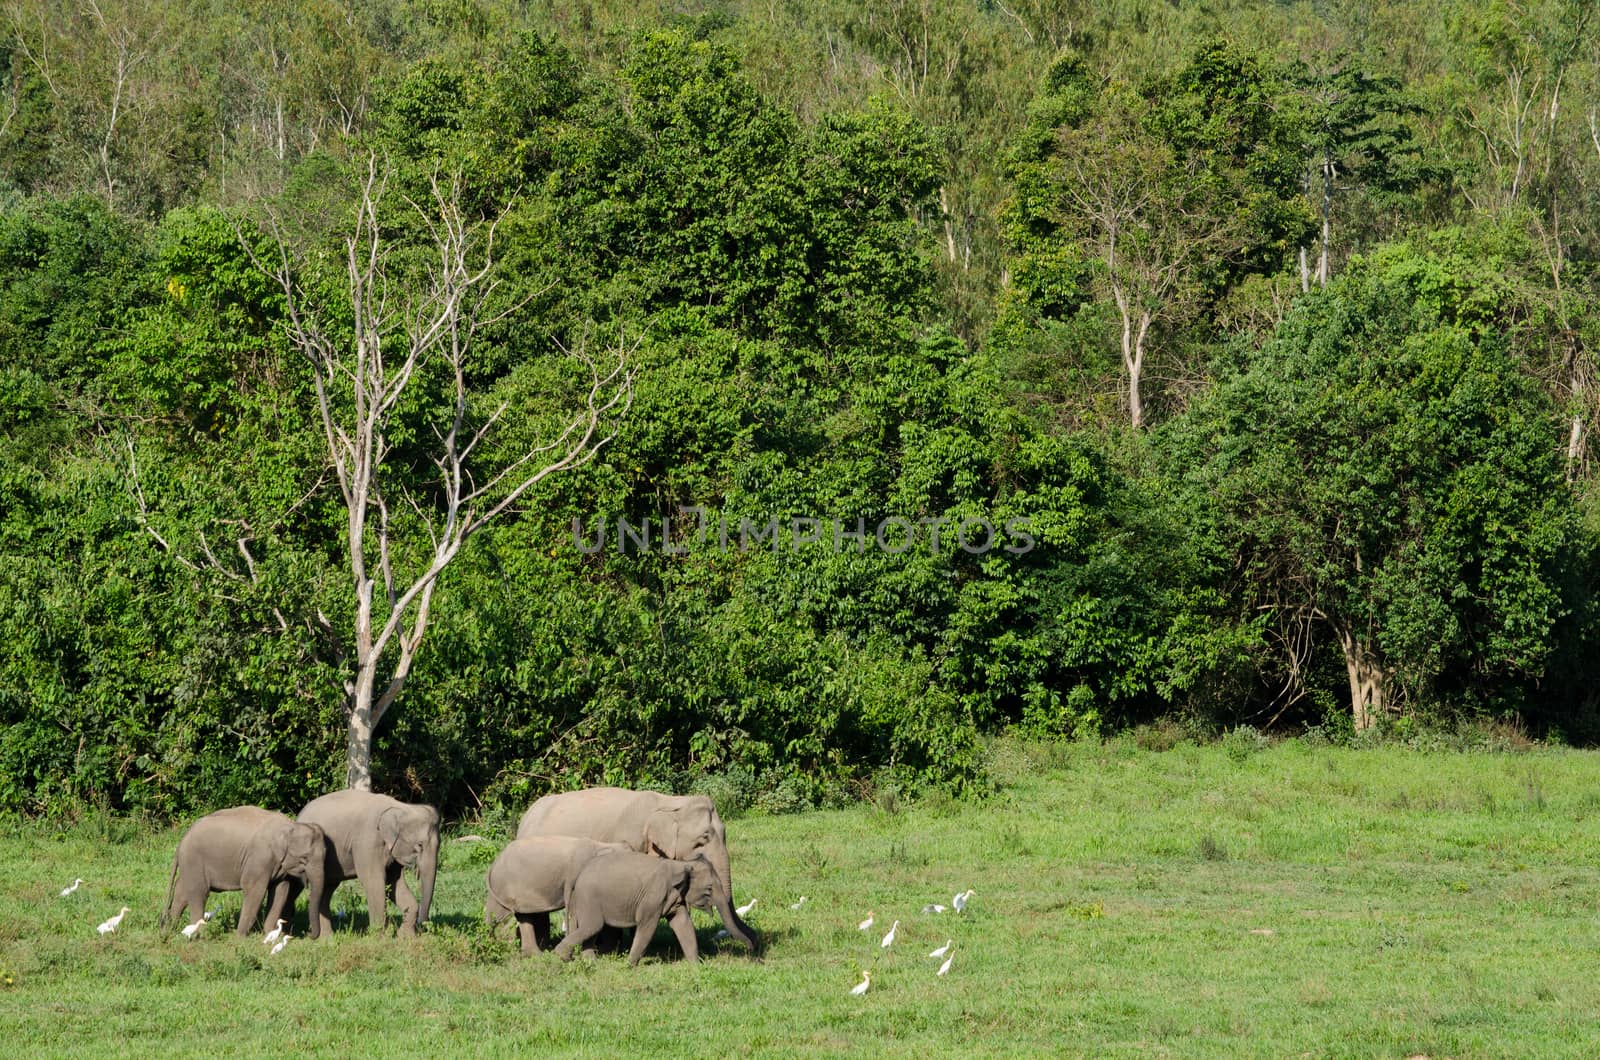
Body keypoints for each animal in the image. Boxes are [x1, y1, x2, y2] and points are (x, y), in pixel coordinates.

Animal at [160, 807, 326, 941]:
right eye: (304, 858)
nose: (308, 933)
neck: (290, 826)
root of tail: (182, 840)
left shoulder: (280, 866)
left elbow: (280, 891)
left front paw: (270, 935)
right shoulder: (259, 859)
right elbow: (254, 891)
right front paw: (240, 938)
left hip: (189, 865)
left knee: (182, 891)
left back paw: (170, 929)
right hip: (193, 859)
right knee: (199, 893)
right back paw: (199, 936)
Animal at [268, 787, 441, 941]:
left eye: (439, 846)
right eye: (419, 845)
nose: (423, 924)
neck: (402, 807)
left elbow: (394, 883)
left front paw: (407, 938)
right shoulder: (367, 841)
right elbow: (374, 881)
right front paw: (380, 940)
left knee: (326, 889)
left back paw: (326, 939)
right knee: (296, 885)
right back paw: (289, 932)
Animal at [515, 787, 758, 954]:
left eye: (725, 834)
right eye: (703, 839)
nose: (754, 944)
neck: (670, 802)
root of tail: (525, 817)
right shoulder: (629, 841)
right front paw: (612, 949)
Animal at [553, 851, 723, 967]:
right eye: (709, 888)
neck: (680, 864)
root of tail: (579, 875)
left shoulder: (675, 897)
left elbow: (682, 923)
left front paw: (696, 965)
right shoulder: (653, 898)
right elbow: (647, 926)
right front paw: (629, 965)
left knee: (591, 928)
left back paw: (589, 961)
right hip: (589, 898)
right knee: (593, 926)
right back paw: (563, 956)